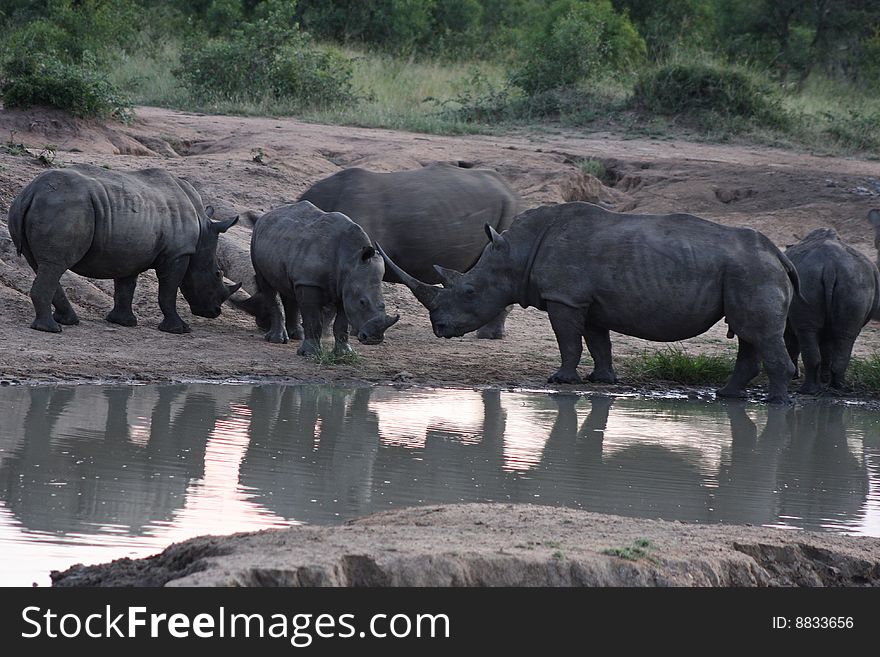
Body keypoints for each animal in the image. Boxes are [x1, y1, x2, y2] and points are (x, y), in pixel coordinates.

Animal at [7, 164, 241, 334]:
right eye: (218, 273)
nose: (215, 312)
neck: (202, 230)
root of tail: (31, 192)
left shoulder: (130, 251)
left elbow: (125, 286)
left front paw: (122, 322)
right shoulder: (178, 253)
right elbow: (168, 290)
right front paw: (179, 330)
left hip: (36, 206)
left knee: (42, 265)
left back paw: (67, 321)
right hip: (64, 207)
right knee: (54, 265)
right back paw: (51, 329)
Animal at [241, 201, 398, 356]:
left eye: (383, 304)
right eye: (362, 302)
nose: (374, 339)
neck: (349, 261)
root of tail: (265, 216)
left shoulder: (344, 287)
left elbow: (341, 324)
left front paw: (345, 354)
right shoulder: (309, 282)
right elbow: (313, 320)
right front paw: (310, 354)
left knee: (289, 287)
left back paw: (297, 336)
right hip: (255, 240)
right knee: (268, 287)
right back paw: (277, 340)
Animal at [382, 202, 800, 402]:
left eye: (469, 292)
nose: (439, 329)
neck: (517, 253)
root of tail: (780, 255)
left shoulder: (564, 297)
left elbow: (569, 340)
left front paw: (560, 379)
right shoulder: (590, 300)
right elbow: (598, 341)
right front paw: (603, 380)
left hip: (752, 270)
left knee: (757, 332)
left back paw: (775, 403)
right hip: (749, 270)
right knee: (748, 333)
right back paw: (728, 397)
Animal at [788, 228, 876, 392]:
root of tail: (830, 267)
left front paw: (795, 376)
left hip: (816, 279)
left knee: (808, 332)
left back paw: (812, 389)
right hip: (854, 282)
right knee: (845, 335)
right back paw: (836, 387)